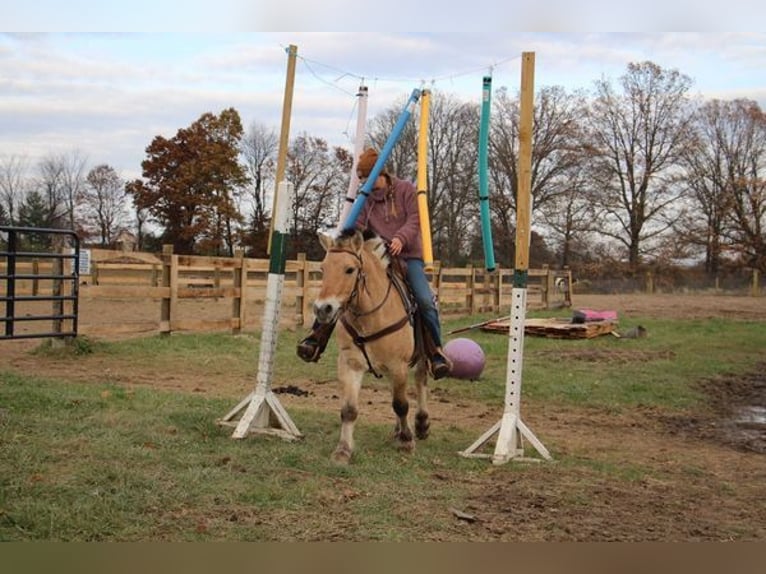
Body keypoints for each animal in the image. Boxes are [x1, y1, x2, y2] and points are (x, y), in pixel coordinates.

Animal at [313, 229, 430, 464]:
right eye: (323, 268)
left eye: (350, 269)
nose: (323, 309)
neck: (371, 315)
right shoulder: (350, 364)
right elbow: (349, 410)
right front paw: (343, 450)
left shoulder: (398, 365)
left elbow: (401, 404)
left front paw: (407, 441)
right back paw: (398, 430)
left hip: (419, 359)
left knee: (420, 380)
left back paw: (421, 424)